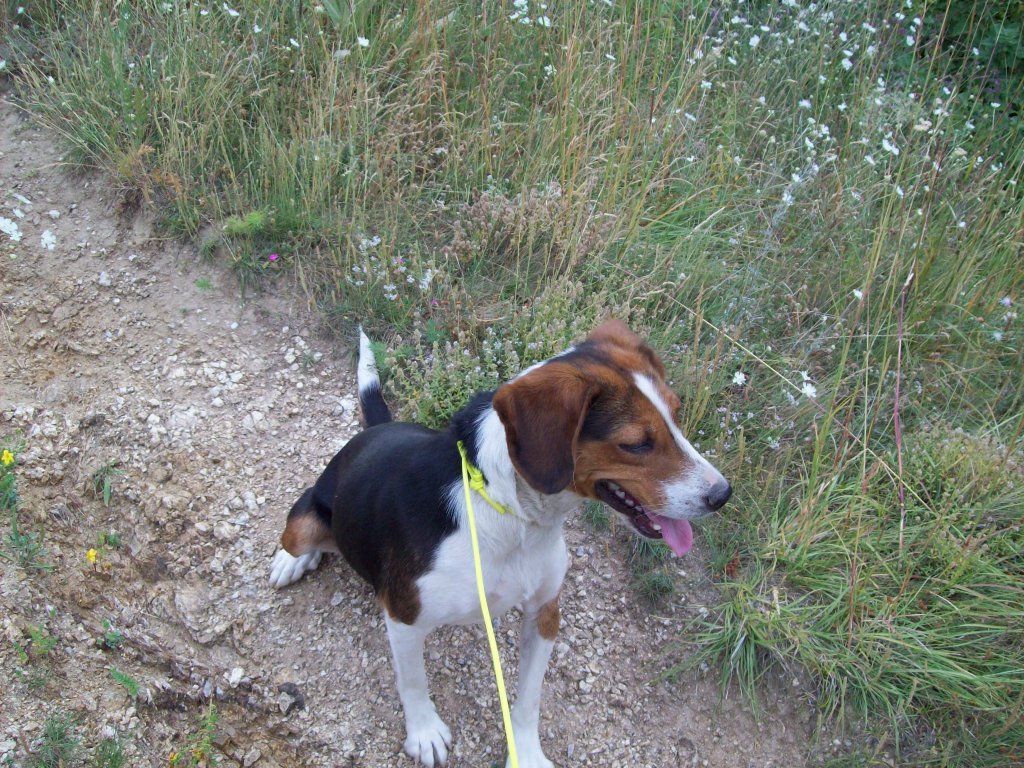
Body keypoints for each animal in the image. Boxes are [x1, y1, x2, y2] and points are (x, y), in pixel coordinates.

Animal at [269, 320, 731, 768]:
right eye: (636, 443)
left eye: (677, 415)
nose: (722, 495)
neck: (511, 514)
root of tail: (379, 428)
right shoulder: (403, 615)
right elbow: (413, 683)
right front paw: (424, 733)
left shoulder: (544, 612)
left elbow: (528, 702)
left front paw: (525, 754)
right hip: (305, 525)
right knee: (298, 535)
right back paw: (291, 562)